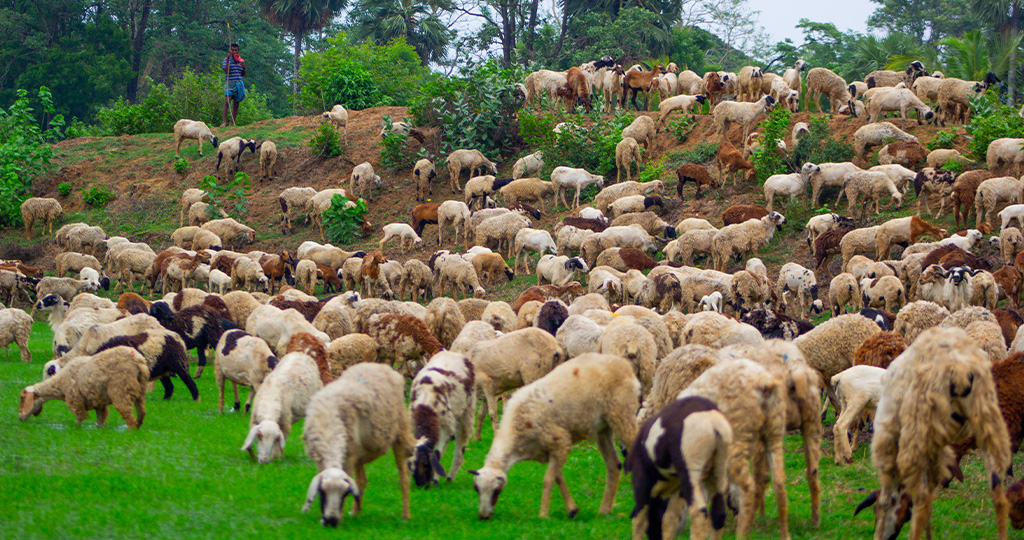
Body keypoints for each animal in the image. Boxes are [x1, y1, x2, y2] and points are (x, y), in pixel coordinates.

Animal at [18, 346, 149, 430]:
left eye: (22, 399)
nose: (20, 418)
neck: (61, 383)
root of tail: (137, 360)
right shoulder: (99, 403)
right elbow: (100, 420)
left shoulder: (75, 400)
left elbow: (80, 419)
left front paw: (76, 429)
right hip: (140, 390)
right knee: (141, 412)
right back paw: (138, 426)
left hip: (121, 389)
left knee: (128, 415)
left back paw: (131, 430)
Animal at [473, 352, 634, 522]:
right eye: (476, 489)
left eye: (496, 491)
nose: (483, 516)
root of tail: (622, 363)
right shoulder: (548, 451)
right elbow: (558, 478)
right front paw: (572, 510)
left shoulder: (560, 441)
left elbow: (548, 480)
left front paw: (543, 514)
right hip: (602, 428)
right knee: (614, 464)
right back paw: (604, 511)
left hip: (622, 414)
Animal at [626, 395, 733, 540]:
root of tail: (713, 422)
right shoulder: (678, 488)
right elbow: (669, 519)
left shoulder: (641, 478)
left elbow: (639, 520)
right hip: (720, 469)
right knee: (718, 514)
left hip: (691, 469)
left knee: (698, 512)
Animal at [860, 327, 1011, 540]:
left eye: (906, 516)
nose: (889, 537)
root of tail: (959, 370)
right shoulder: (933, 448)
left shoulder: (887, 442)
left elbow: (886, 500)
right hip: (988, 420)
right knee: (998, 491)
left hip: (918, 426)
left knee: (921, 496)